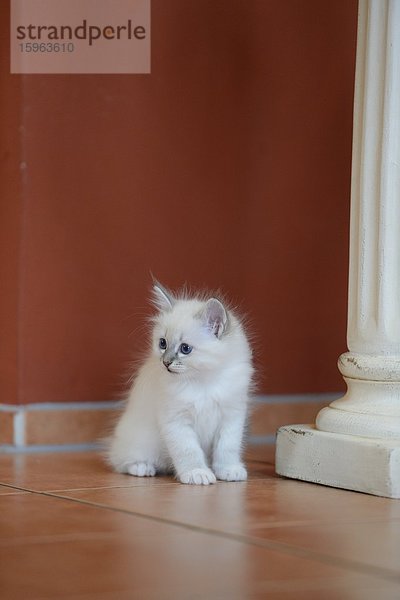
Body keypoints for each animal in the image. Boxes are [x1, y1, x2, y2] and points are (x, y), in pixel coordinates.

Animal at [107, 284, 253, 486]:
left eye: (185, 348)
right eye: (162, 343)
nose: (165, 362)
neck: (203, 381)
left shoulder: (231, 417)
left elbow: (227, 448)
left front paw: (228, 470)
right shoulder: (176, 421)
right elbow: (188, 451)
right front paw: (197, 473)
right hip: (139, 440)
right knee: (122, 461)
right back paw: (143, 468)